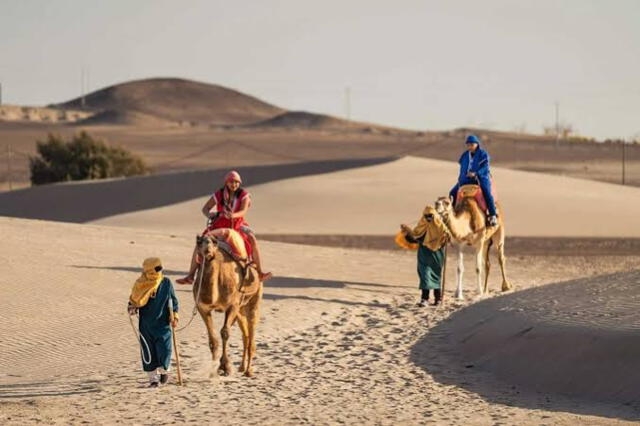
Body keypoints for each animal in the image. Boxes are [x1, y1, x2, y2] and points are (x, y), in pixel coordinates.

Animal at [195, 235, 264, 378]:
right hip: (240, 310)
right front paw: (214, 369)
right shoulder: (202, 308)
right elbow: (213, 339)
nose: (207, 249)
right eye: (199, 242)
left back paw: (249, 371)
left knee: (251, 333)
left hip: (254, 300)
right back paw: (242, 367)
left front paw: (225, 367)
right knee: (245, 335)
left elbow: (225, 333)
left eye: (214, 242)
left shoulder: (232, 305)